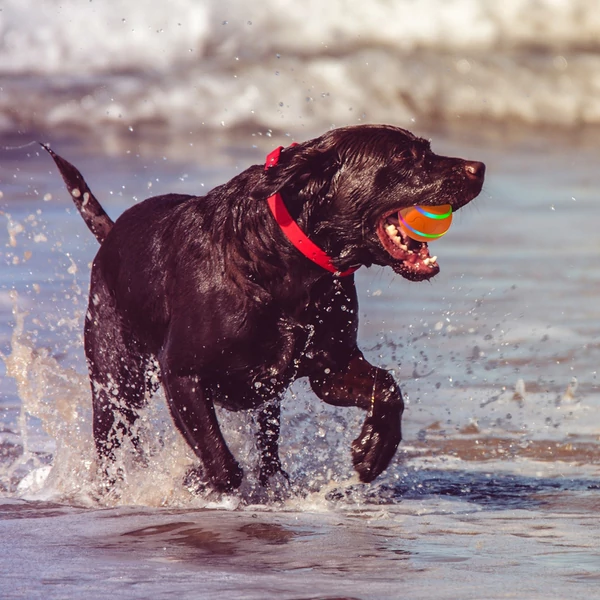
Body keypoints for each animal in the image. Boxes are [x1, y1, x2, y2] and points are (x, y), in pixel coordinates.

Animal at [44, 123, 486, 492]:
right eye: (405, 157)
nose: (479, 167)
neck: (286, 262)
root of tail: (110, 234)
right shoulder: (181, 373)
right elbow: (221, 462)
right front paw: (196, 479)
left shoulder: (331, 367)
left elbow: (387, 387)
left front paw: (375, 448)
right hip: (117, 380)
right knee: (112, 442)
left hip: (264, 401)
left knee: (268, 442)